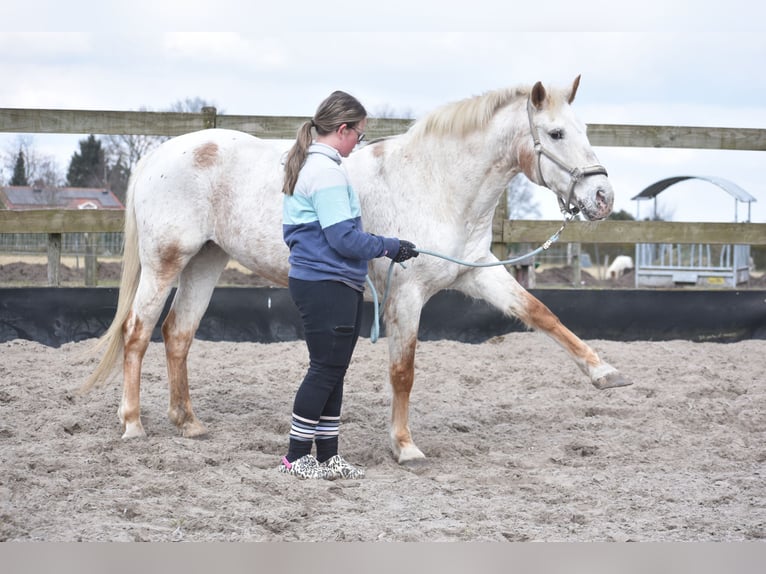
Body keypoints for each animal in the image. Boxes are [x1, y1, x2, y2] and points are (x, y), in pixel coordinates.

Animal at [85, 75, 632, 464]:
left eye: (584, 131)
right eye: (556, 133)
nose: (602, 197)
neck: (435, 181)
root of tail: (158, 154)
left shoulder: (478, 272)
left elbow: (542, 313)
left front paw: (605, 374)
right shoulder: (406, 294)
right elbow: (403, 371)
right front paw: (405, 446)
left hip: (206, 260)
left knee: (178, 334)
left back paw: (189, 423)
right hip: (165, 262)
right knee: (137, 333)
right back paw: (133, 423)